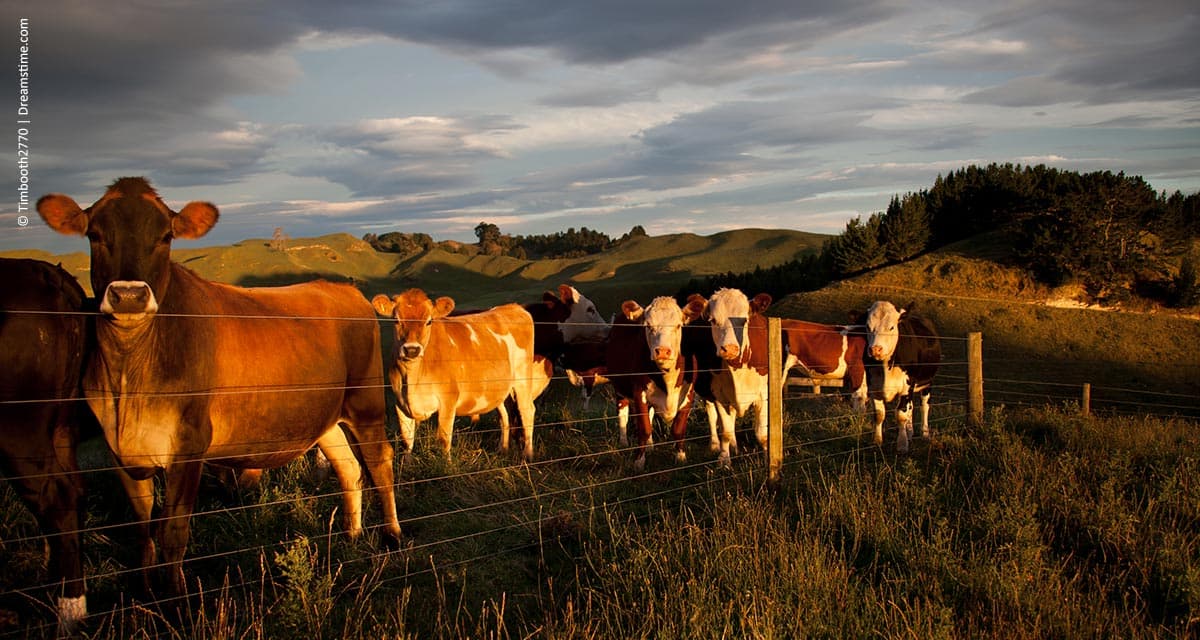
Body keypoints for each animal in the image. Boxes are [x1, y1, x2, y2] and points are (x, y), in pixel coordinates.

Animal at [36, 177, 403, 595]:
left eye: (165, 237)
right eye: (95, 235)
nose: (129, 295)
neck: (129, 380)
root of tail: (340, 288)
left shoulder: (190, 445)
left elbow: (173, 532)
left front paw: (176, 598)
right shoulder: (120, 451)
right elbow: (143, 527)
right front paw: (145, 591)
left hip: (365, 401)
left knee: (379, 461)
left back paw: (391, 536)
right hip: (324, 416)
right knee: (349, 467)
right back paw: (352, 535)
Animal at [372, 288, 542, 458]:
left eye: (429, 321)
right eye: (396, 320)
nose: (412, 349)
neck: (413, 378)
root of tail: (512, 307)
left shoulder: (448, 399)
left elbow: (443, 439)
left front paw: (446, 463)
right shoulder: (400, 403)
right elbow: (407, 442)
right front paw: (407, 463)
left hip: (523, 379)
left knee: (527, 411)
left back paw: (528, 455)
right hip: (498, 387)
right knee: (504, 415)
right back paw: (503, 450)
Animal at [859, 301, 940, 451]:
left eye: (891, 327)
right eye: (868, 326)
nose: (875, 349)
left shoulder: (907, 386)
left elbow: (901, 414)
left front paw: (902, 445)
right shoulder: (874, 386)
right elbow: (879, 414)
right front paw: (877, 441)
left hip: (927, 382)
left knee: (924, 406)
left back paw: (925, 433)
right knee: (911, 407)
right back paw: (910, 432)